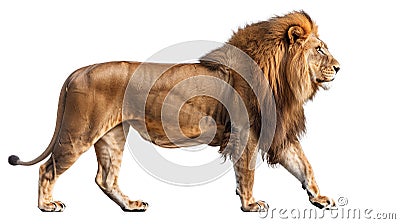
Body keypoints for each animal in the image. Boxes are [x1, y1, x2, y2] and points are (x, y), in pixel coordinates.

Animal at [8, 10, 340, 214]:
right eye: (320, 49)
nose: (339, 67)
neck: (282, 78)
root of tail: (78, 71)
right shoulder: (245, 133)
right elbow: (247, 173)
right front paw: (250, 204)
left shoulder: (276, 133)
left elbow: (305, 166)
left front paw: (320, 198)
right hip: (80, 131)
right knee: (47, 168)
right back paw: (47, 206)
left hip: (112, 135)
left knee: (105, 178)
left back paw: (131, 205)